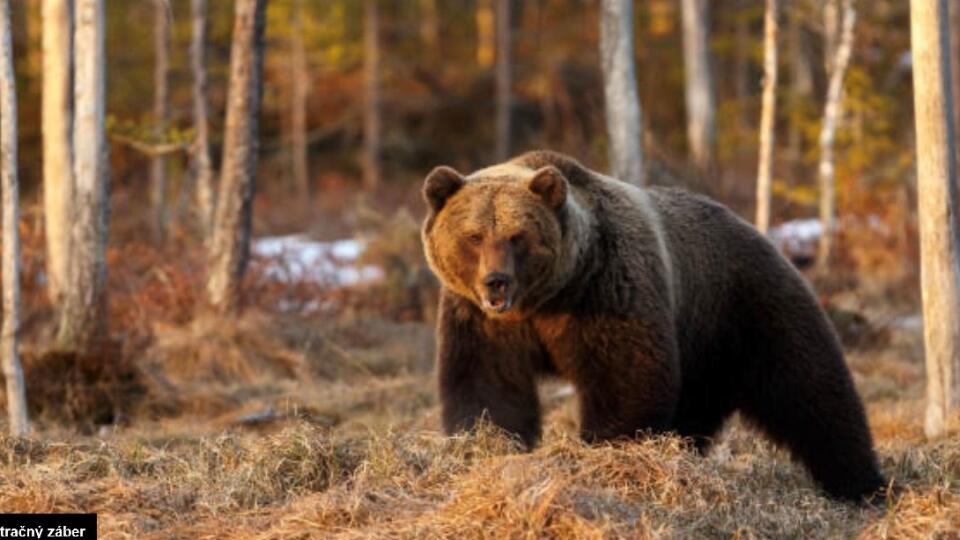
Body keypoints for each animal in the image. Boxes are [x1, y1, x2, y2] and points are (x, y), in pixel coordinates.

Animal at [420, 150, 884, 500]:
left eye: (518, 236)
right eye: (474, 236)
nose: (496, 281)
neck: (548, 297)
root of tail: (760, 231)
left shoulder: (608, 289)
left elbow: (625, 378)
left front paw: (604, 454)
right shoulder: (483, 321)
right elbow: (488, 386)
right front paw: (485, 446)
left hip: (746, 307)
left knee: (811, 390)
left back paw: (861, 484)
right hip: (704, 353)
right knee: (698, 410)